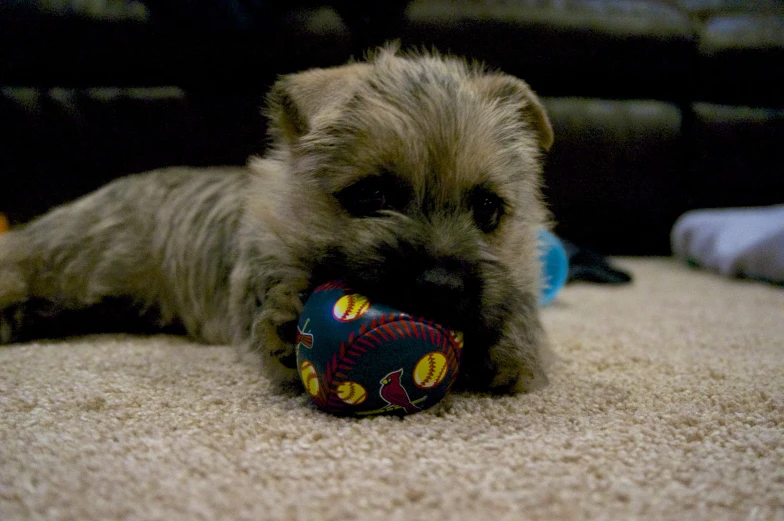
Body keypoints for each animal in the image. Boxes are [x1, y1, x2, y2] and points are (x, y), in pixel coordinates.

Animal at [0, 45, 556, 394]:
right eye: (370, 194)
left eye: (488, 208)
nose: (441, 287)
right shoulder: (257, 265)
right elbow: (273, 288)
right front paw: (290, 324)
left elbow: (518, 301)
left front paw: (511, 343)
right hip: (68, 260)